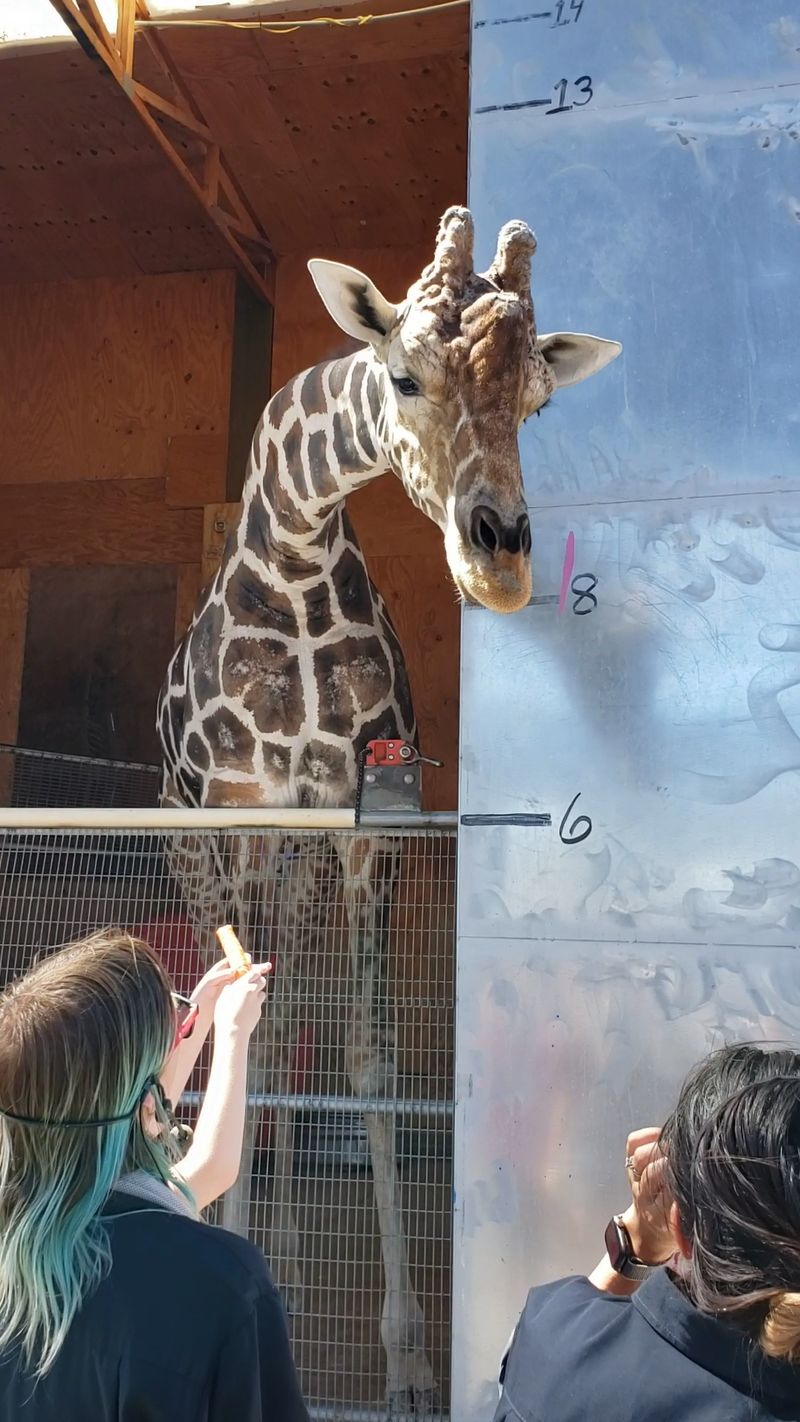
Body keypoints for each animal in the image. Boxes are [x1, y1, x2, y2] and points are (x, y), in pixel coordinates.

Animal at [156, 206, 620, 1413]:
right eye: (405, 374)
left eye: (537, 400)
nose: (499, 563)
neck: (296, 559)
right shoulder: (245, 814)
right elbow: (246, 1028)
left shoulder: (365, 829)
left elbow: (368, 1062)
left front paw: (407, 1360)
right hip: (197, 848)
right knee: (232, 1023)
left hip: (305, 877)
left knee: (286, 1029)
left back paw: (289, 1257)